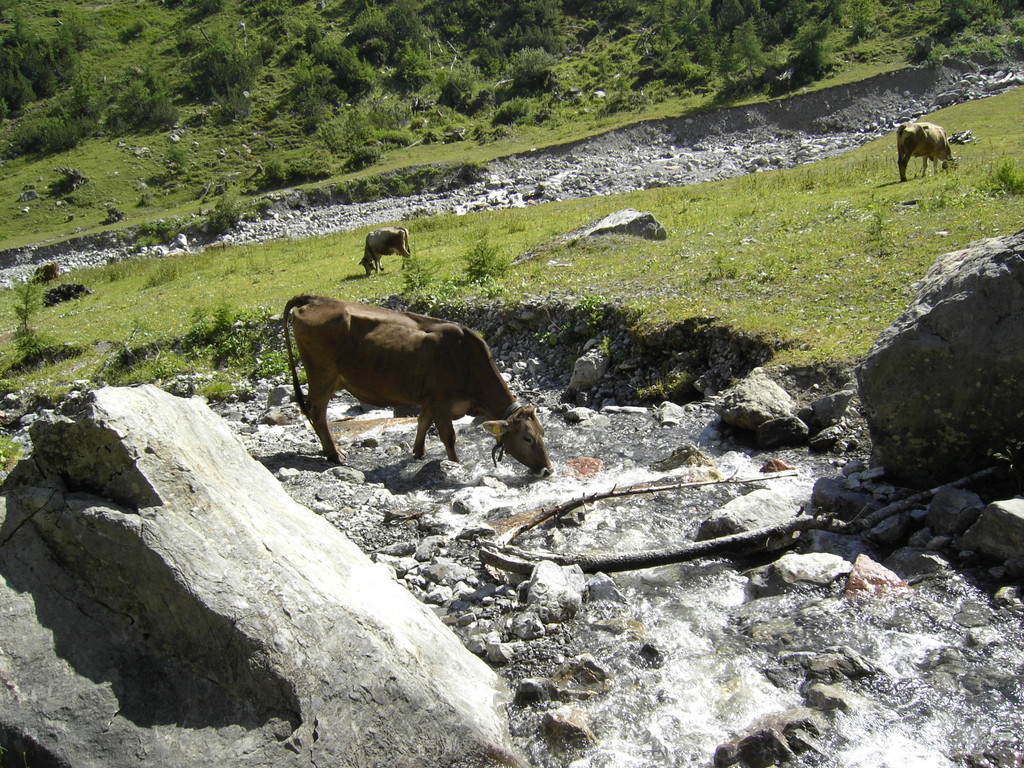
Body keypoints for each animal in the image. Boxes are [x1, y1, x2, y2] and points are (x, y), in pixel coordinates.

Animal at [283, 295, 553, 477]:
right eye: (527, 438)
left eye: (543, 433)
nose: (548, 470)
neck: (467, 361)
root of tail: (316, 299)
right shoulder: (440, 402)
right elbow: (449, 437)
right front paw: (455, 463)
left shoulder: (428, 399)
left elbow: (423, 423)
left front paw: (418, 452)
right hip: (322, 374)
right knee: (316, 410)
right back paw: (334, 453)